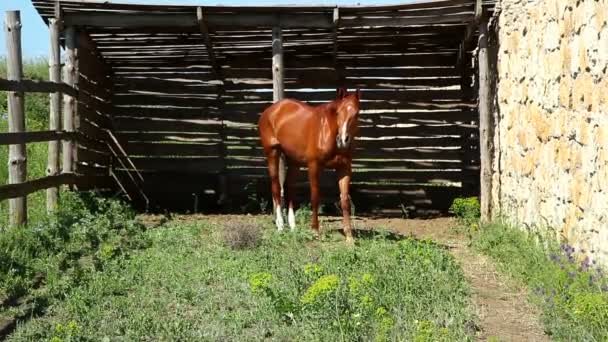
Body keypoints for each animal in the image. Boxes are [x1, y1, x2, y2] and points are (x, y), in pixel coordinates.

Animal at [258, 87, 360, 243]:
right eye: (338, 113)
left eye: (356, 114)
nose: (343, 140)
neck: (327, 131)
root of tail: (271, 110)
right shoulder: (314, 166)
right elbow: (315, 197)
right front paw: (315, 231)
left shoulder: (344, 168)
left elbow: (345, 200)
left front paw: (349, 237)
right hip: (272, 153)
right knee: (276, 187)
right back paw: (280, 226)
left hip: (294, 161)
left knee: (289, 187)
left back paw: (293, 227)